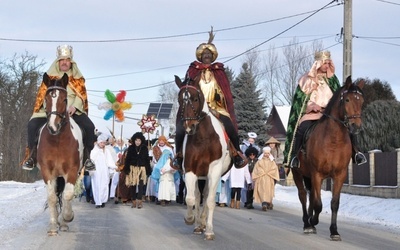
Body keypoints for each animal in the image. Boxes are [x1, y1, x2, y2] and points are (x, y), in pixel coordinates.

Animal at [38, 72, 84, 234]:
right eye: (45, 100)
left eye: (64, 99)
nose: (53, 127)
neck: (57, 141)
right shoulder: (47, 172)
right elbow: (52, 197)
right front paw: (53, 226)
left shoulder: (72, 171)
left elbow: (68, 195)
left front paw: (67, 217)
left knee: (64, 195)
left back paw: (63, 222)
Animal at [174, 74, 231, 240]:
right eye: (180, 100)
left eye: (195, 98)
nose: (189, 127)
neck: (203, 138)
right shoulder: (190, 170)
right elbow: (191, 198)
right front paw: (190, 219)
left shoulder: (215, 171)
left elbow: (210, 201)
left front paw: (210, 231)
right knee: (199, 196)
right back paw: (199, 225)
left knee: (206, 197)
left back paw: (204, 224)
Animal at [292, 75, 364, 240]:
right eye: (347, 100)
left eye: (362, 101)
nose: (356, 127)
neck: (333, 140)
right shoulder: (317, 174)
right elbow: (318, 204)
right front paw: (313, 221)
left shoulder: (339, 175)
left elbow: (334, 203)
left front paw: (334, 231)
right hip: (298, 173)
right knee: (303, 195)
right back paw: (307, 224)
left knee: (311, 196)